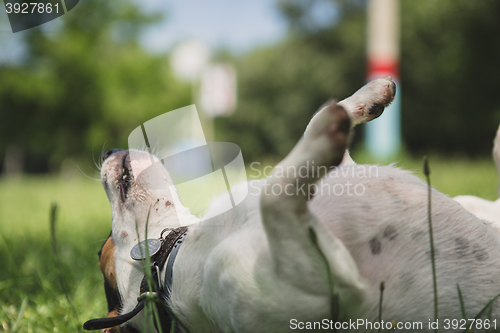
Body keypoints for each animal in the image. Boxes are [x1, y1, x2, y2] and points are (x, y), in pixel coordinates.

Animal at [86, 76, 500, 330]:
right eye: (107, 248)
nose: (107, 149)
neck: (174, 250)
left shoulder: (342, 172)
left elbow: (313, 127)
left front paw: (364, 98)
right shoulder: (334, 289)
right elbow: (274, 195)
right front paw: (328, 132)